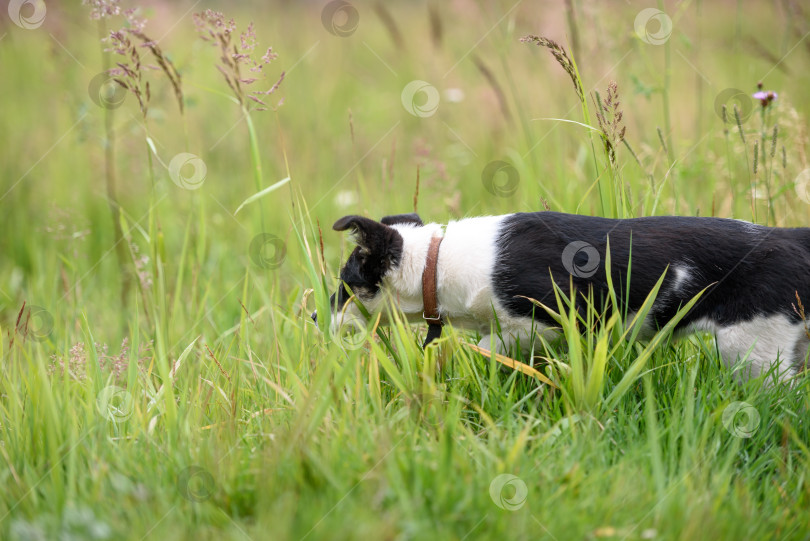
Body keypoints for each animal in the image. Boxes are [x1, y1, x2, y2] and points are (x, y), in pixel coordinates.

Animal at [314, 210, 808, 380]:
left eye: (343, 285)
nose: (316, 319)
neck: (437, 262)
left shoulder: (541, 320)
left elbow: (490, 345)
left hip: (751, 352)